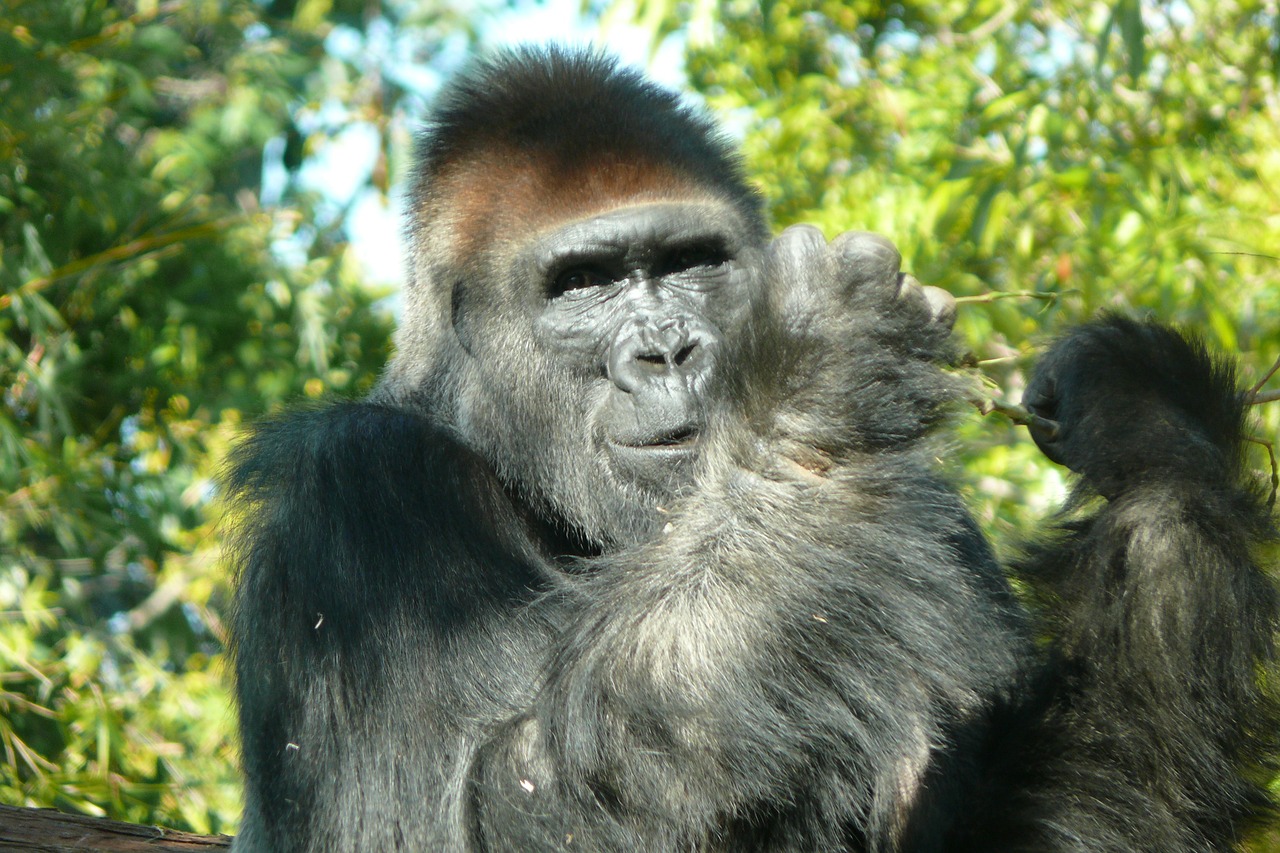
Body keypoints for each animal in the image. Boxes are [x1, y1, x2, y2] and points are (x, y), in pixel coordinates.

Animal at [225, 48, 1274, 850]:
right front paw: (812, 397)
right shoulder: (359, 488)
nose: (667, 350)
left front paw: (1156, 434)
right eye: (583, 283)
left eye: (693, 263)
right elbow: (466, 807)